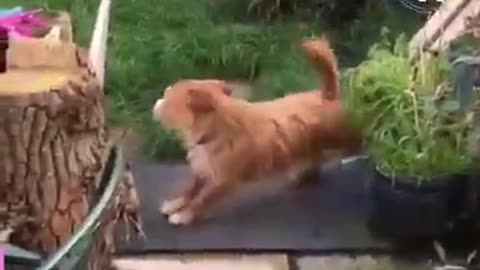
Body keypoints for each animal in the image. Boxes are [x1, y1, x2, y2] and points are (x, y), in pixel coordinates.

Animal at [153, 36, 360, 226]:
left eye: (167, 98)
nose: (156, 103)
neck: (215, 126)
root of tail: (327, 95)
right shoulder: (204, 170)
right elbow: (191, 190)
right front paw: (175, 204)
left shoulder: (223, 180)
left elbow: (202, 199)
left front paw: (185, 215)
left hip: (345, 137)